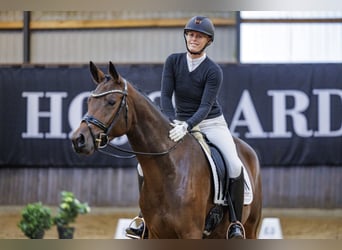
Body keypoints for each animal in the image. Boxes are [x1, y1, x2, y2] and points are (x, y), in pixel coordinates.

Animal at [71, 61, 262, 239]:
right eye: (89, 101)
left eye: (111, 102)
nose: (78, 139)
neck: (169, 169)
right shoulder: (156, 233)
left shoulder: (190, 232)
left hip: (250, 228)